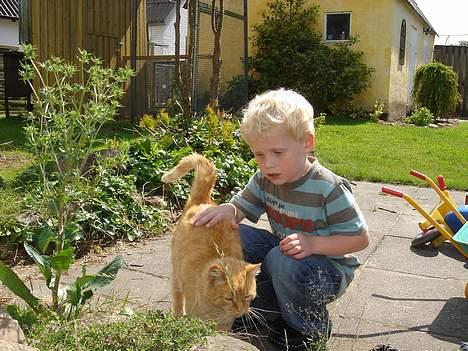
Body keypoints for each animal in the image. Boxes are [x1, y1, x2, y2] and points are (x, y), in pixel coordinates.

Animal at [163, 154, 262, 332]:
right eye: (229, 298)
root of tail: (203, 201)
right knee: (177, 298)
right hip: (176, 275)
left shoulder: (225, 326)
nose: (241, 311)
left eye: (247, 296)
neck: (217, 312)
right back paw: (177, 317)